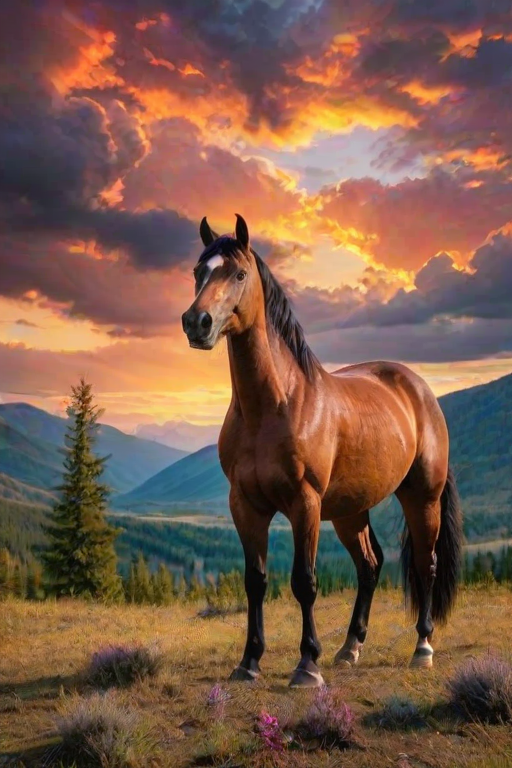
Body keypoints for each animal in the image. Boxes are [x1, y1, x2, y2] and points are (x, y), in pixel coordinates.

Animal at [182, 213, 463, 688]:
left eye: (238, 274)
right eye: (198, 271)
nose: (196, 322)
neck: (275, 405)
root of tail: (421, 390)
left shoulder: (305, 503)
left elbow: (304, 582)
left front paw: (306, 665)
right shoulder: (245, 505)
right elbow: (255, 581)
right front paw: (249, 662)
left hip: (421, 498)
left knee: (427, 563)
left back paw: (422, 647)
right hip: (351, 510)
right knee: (370, 565)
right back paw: (350, 648)